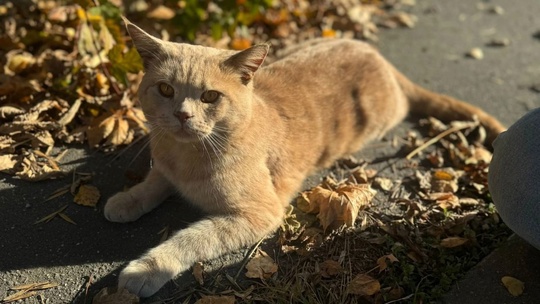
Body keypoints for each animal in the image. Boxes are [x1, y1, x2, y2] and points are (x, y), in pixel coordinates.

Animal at [104, 19, 506, 296]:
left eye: (210, 97)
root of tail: (378, 56)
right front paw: (125, 200)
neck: (188, 156)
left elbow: (192, 238)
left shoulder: (258, 213)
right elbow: (152, 183)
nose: (182, 116)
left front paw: (147, 268)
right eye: (165, 89)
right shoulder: (165, 167)